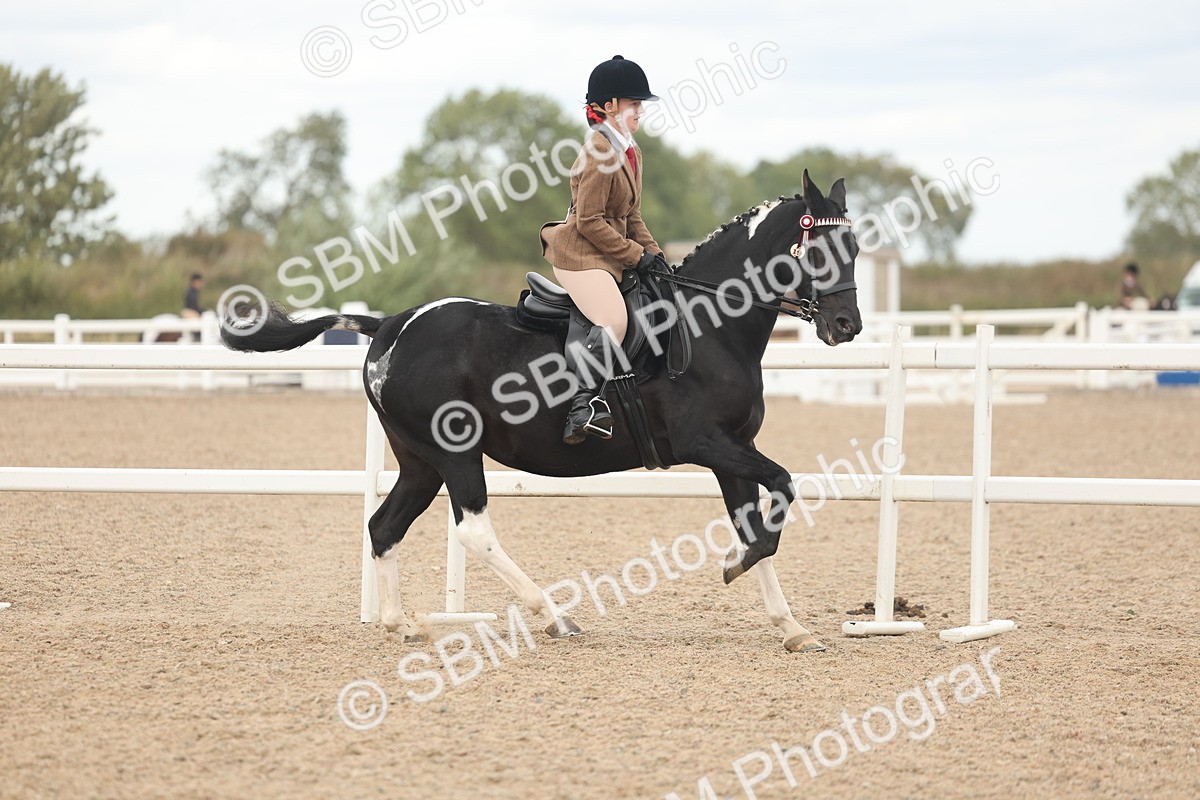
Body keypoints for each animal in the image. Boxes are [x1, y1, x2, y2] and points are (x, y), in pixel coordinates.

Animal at [222, 171, 862, 653]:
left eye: (855, 248)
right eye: (820, 248)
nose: (846, 326)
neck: (710, 323)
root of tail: (391, 325)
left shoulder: (734, 449)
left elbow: (758, 522)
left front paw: (790, 625)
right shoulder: (705, 444)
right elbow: (782, 488)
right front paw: (735, 567)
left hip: (420, 462)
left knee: (384, 526)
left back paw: (404, 624)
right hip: (455, 453)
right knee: (473, 529)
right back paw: (553, 615)